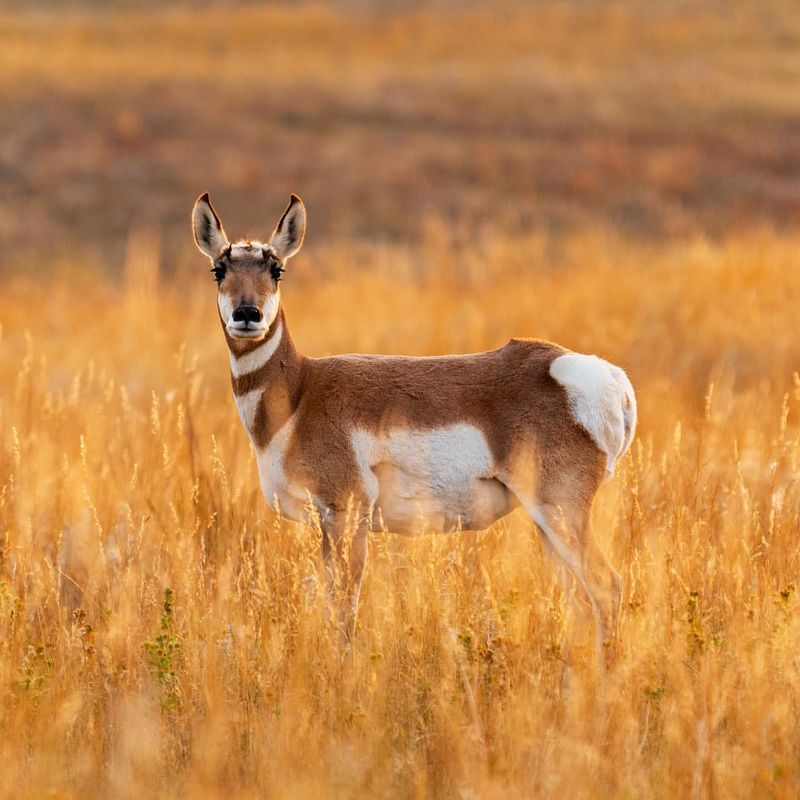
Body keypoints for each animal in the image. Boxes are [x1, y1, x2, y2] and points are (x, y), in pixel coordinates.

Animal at [194, 194, 636, 648]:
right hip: (544, 520)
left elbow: (344, 612)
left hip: (560, 510)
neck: (302, 390)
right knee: (579, 599)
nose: (248, 313)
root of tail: (604, 375)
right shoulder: (327, 524)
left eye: (276, 269)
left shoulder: (347, 514)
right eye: (219, 269)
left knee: (606, 587)